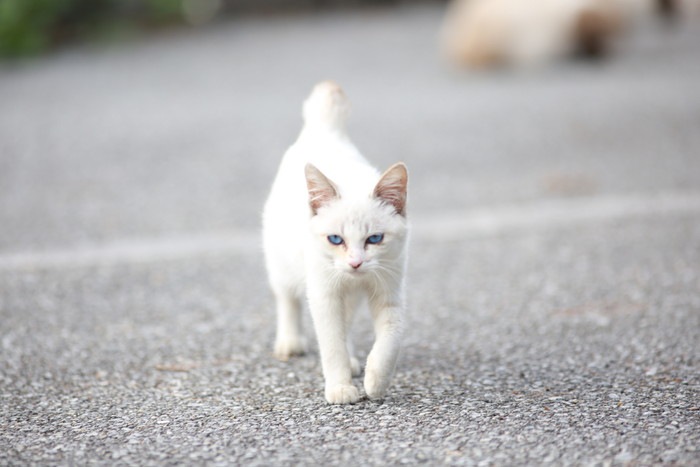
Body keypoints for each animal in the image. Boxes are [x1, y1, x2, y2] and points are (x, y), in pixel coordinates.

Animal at [262, 81, 408, 406]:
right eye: (335, 239)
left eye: (375, 238)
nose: (355, 262)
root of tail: (325, 130)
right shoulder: (324, 293)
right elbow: (331, 344)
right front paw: (340, 388)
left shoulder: (388, 290)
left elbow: (391, 339)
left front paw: (376, 380)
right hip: (282, 262)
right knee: (286, 299)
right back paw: (290, 341)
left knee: (348, 320)